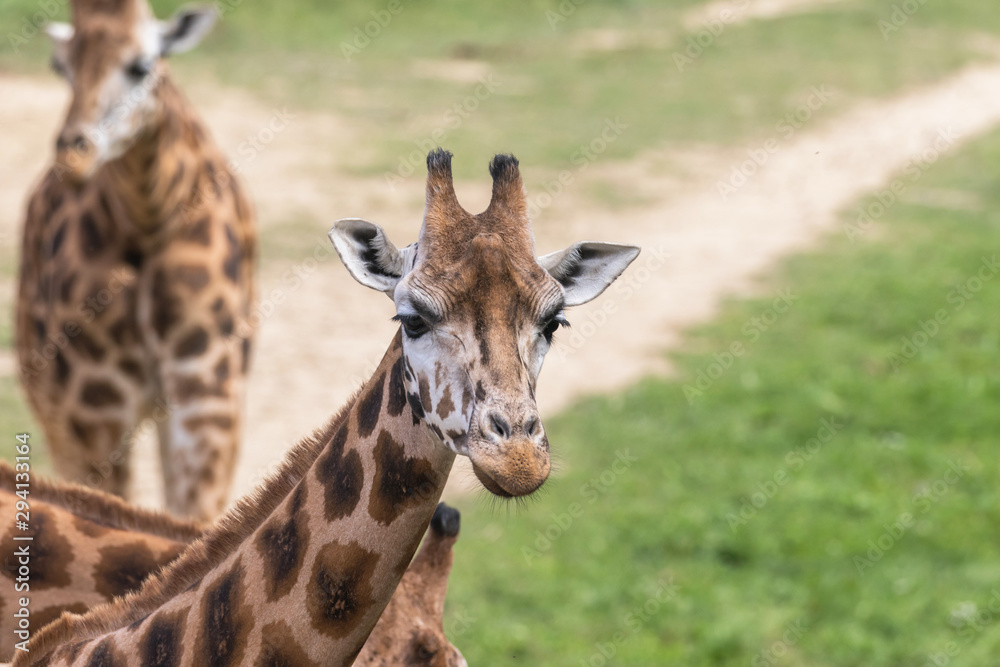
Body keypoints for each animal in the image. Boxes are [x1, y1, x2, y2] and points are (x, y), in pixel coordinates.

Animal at [16, 0, 257, 521]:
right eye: (61, 67)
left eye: (141, 66)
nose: (74, 156)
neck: (150, 218)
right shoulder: (92, 409)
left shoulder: (208, 395)